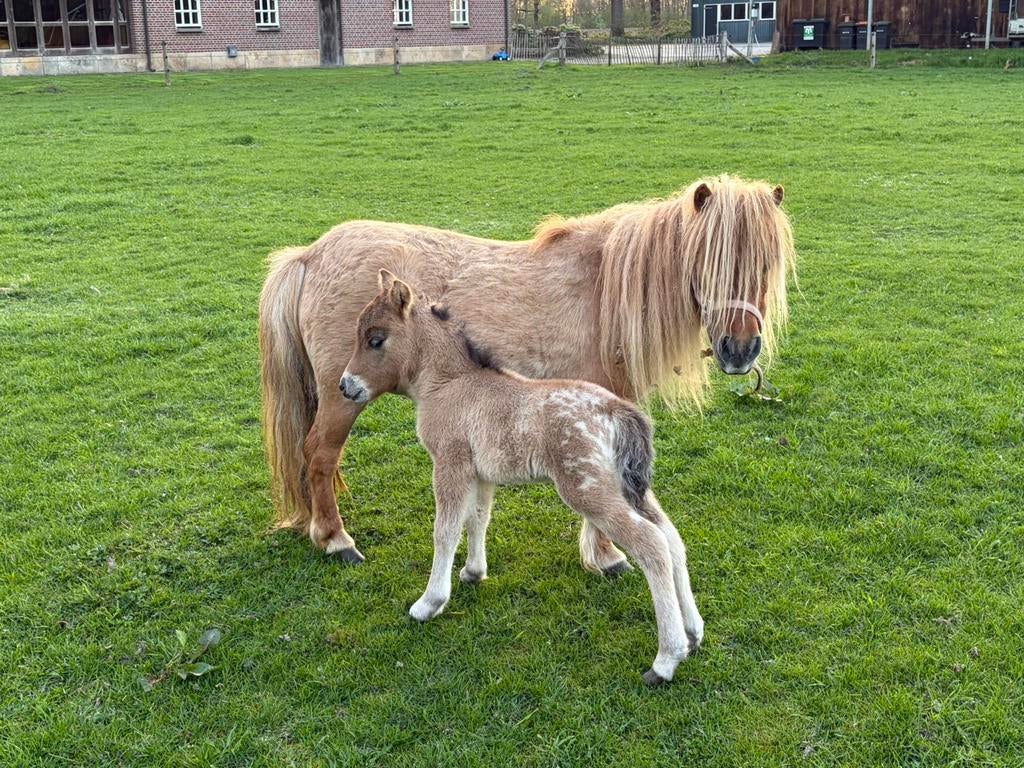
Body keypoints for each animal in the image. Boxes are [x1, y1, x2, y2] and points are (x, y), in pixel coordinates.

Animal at [259, 175, 795, 566]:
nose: (740, 350)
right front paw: (606, 556)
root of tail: (309, 256)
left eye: (767, 265)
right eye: (708, 266)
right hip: (342, 395)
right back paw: (335, 540)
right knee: (319, 454)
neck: (602, 290)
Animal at [341, 270, 704, 684]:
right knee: (671, 537)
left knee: (652, 545)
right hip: (632, 488)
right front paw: (473, 572)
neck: (448, 384)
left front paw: (429, 602)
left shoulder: (449, 462)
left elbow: (445, 530)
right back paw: (693, 634)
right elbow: (477, 519)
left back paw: (666, 659)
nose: (346, 386)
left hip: (588, 489)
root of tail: (617, 411)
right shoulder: (480, 473)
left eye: (376, 339)